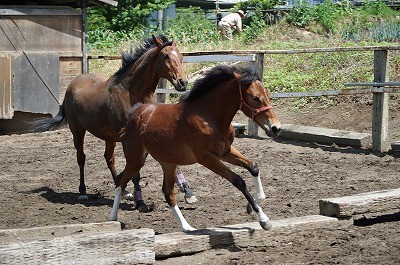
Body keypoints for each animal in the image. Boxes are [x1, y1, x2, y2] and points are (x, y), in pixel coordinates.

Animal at [30, 34, 197, 208]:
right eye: (165, 56)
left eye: (181, 56)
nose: (182, 82)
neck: (133, 92)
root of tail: (72, 84)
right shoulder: (128, 139)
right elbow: (136, 172)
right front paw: (140, 202)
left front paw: (188, 193)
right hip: (77, 130)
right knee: (81, 157)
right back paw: (83, 192)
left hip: (108, 137)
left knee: (109, 158)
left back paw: (123, 189)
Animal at [110, 63, 282, 229]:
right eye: (255, 98)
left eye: (267, 95)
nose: (276, 128)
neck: (210, 117)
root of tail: (134, 112)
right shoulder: (206, 158)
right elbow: (239, 181)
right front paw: (264, 219)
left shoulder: (225, 152)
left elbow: (253, 166)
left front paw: (253, 204)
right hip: (136, 159)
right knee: (121, 181)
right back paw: (112, 218)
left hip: (168, 162)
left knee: (167, 192)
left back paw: (187, 227)